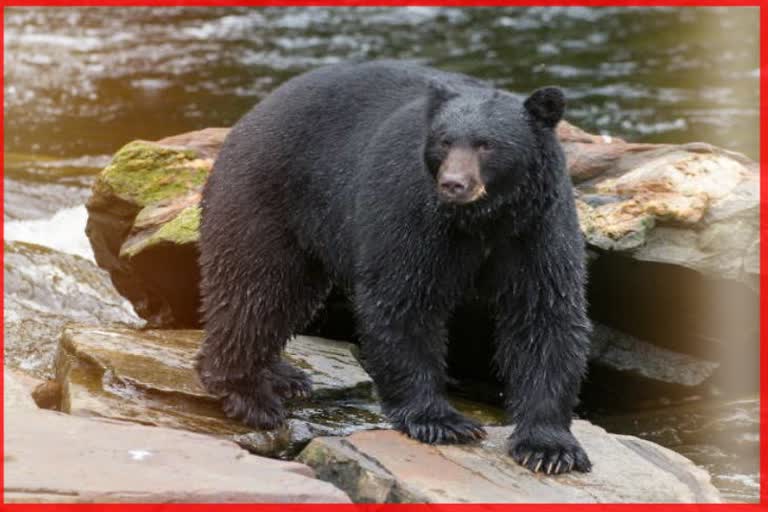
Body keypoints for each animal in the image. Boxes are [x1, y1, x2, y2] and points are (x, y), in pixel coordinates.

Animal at [196, 60, 592, 474]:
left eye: (487, 144)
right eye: (444, 141)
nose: (454, 184)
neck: (483, 220)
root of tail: (249, 117)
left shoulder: (537, 227)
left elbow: (545, 313)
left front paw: (550, 448)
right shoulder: (411, 211)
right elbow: (403, 300)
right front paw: (441, 421)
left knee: (288, 296)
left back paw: (283, 375)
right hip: (268, 196)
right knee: (256, 287)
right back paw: (249, 395)